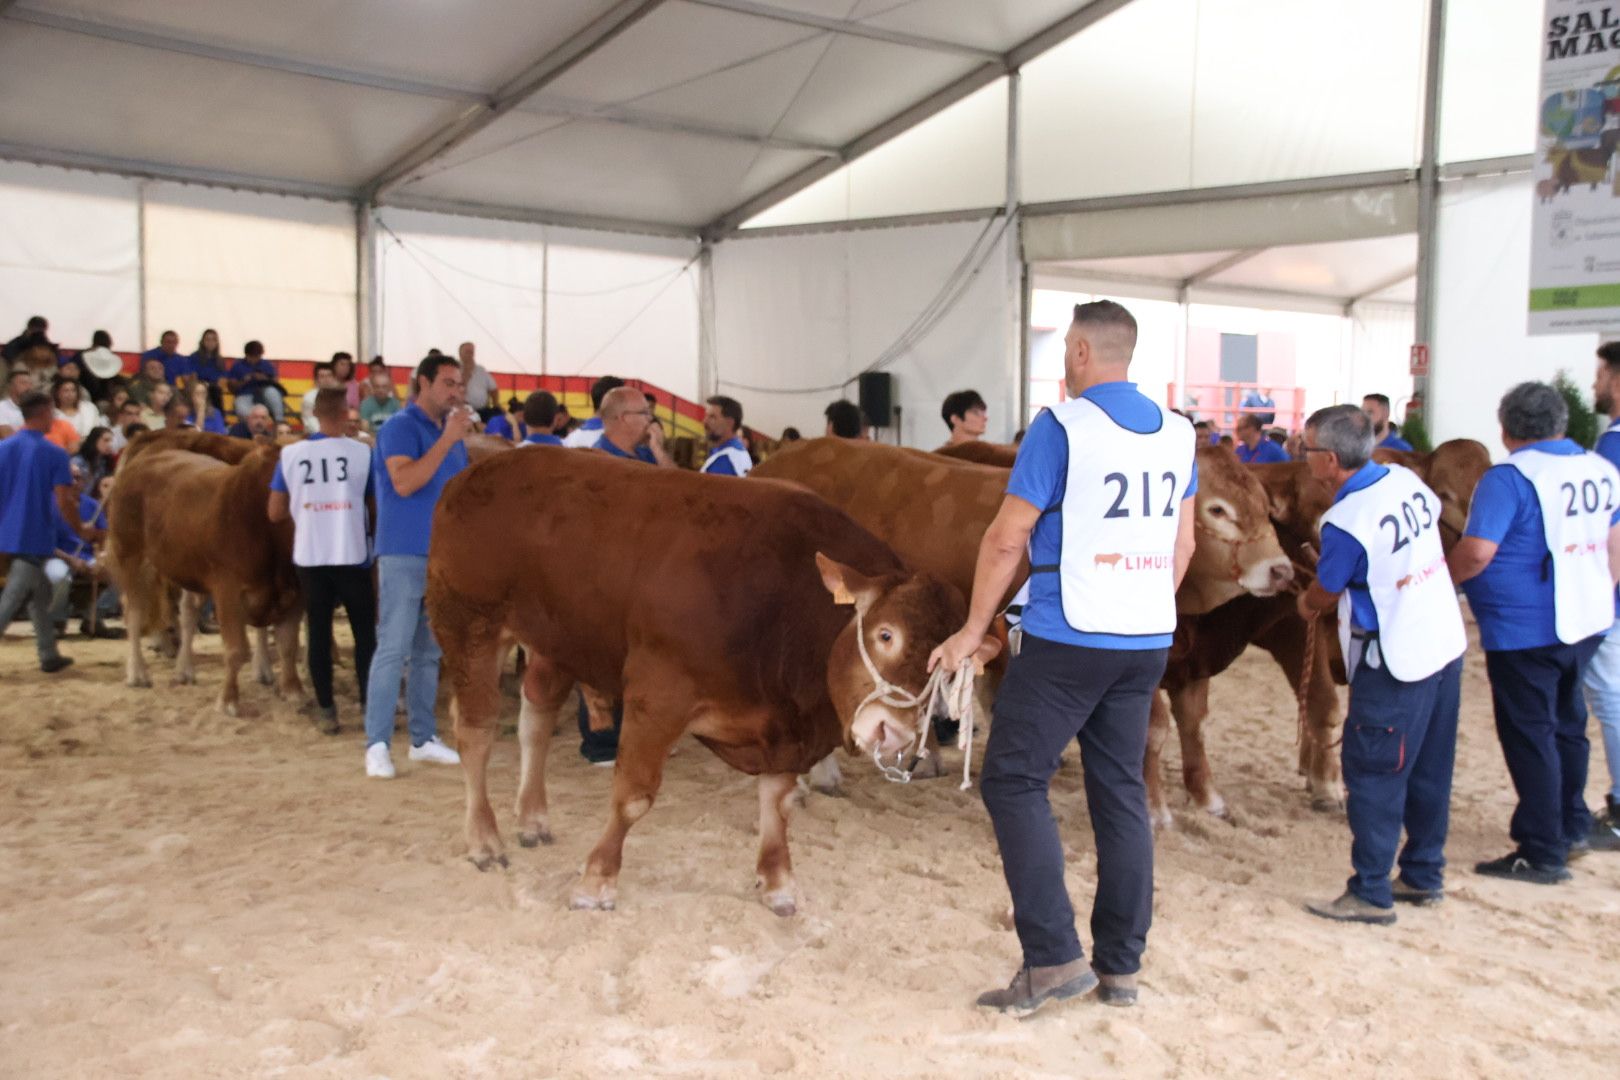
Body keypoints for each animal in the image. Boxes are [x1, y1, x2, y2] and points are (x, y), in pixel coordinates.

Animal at [106, 443, 304, 712]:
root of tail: (145, 457)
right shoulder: (228, 590)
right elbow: (236, 649)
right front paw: (228, 699)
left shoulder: (293, 594)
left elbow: (288, 644)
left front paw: (293, 690)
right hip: (131, 555)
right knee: (134, 612)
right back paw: (137, 673)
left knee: (188, 612)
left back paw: (184, 670)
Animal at [424, 446, 978, 913]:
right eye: (885, 634)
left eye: (946, 663)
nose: (895, 732)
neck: (781, 609)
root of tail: (476, 469)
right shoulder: (657, 693)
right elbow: (633, 796)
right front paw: (597, 880)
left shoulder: (781, 729)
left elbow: (776, 802)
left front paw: (777, 881)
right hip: (468, 625)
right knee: (475, 733)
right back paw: (484, 839)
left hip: (553, 643)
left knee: (535, 720)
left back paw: (533, 818)